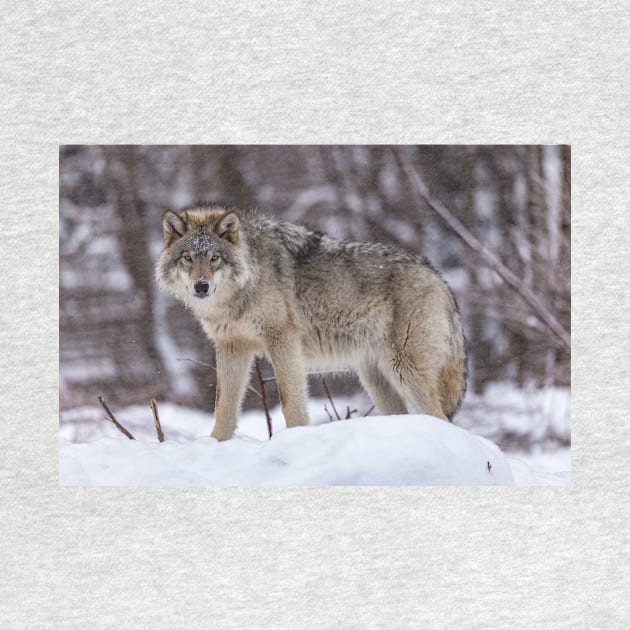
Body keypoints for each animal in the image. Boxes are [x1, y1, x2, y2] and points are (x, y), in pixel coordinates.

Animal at [156, 205, 466, 442]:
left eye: (214, 258)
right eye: (188, 258)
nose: (201, 287)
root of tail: (438, 276)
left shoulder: (282, 339)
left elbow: (290, 401)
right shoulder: (231, 347)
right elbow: (223, 407)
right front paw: (215, 444)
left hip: (404, 370)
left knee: (440, 417)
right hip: (376, 378)